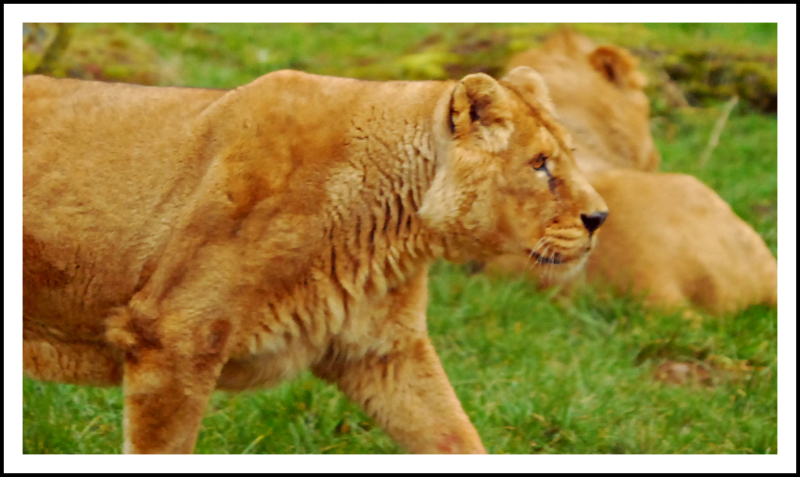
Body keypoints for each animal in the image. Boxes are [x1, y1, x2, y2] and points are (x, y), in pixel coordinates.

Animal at [23, 67, 608, 454]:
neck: (400, 224)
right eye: (539, 164)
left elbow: (454, 434)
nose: (599, 217)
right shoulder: (173, 339)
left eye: (569, 156)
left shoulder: (383, 351)